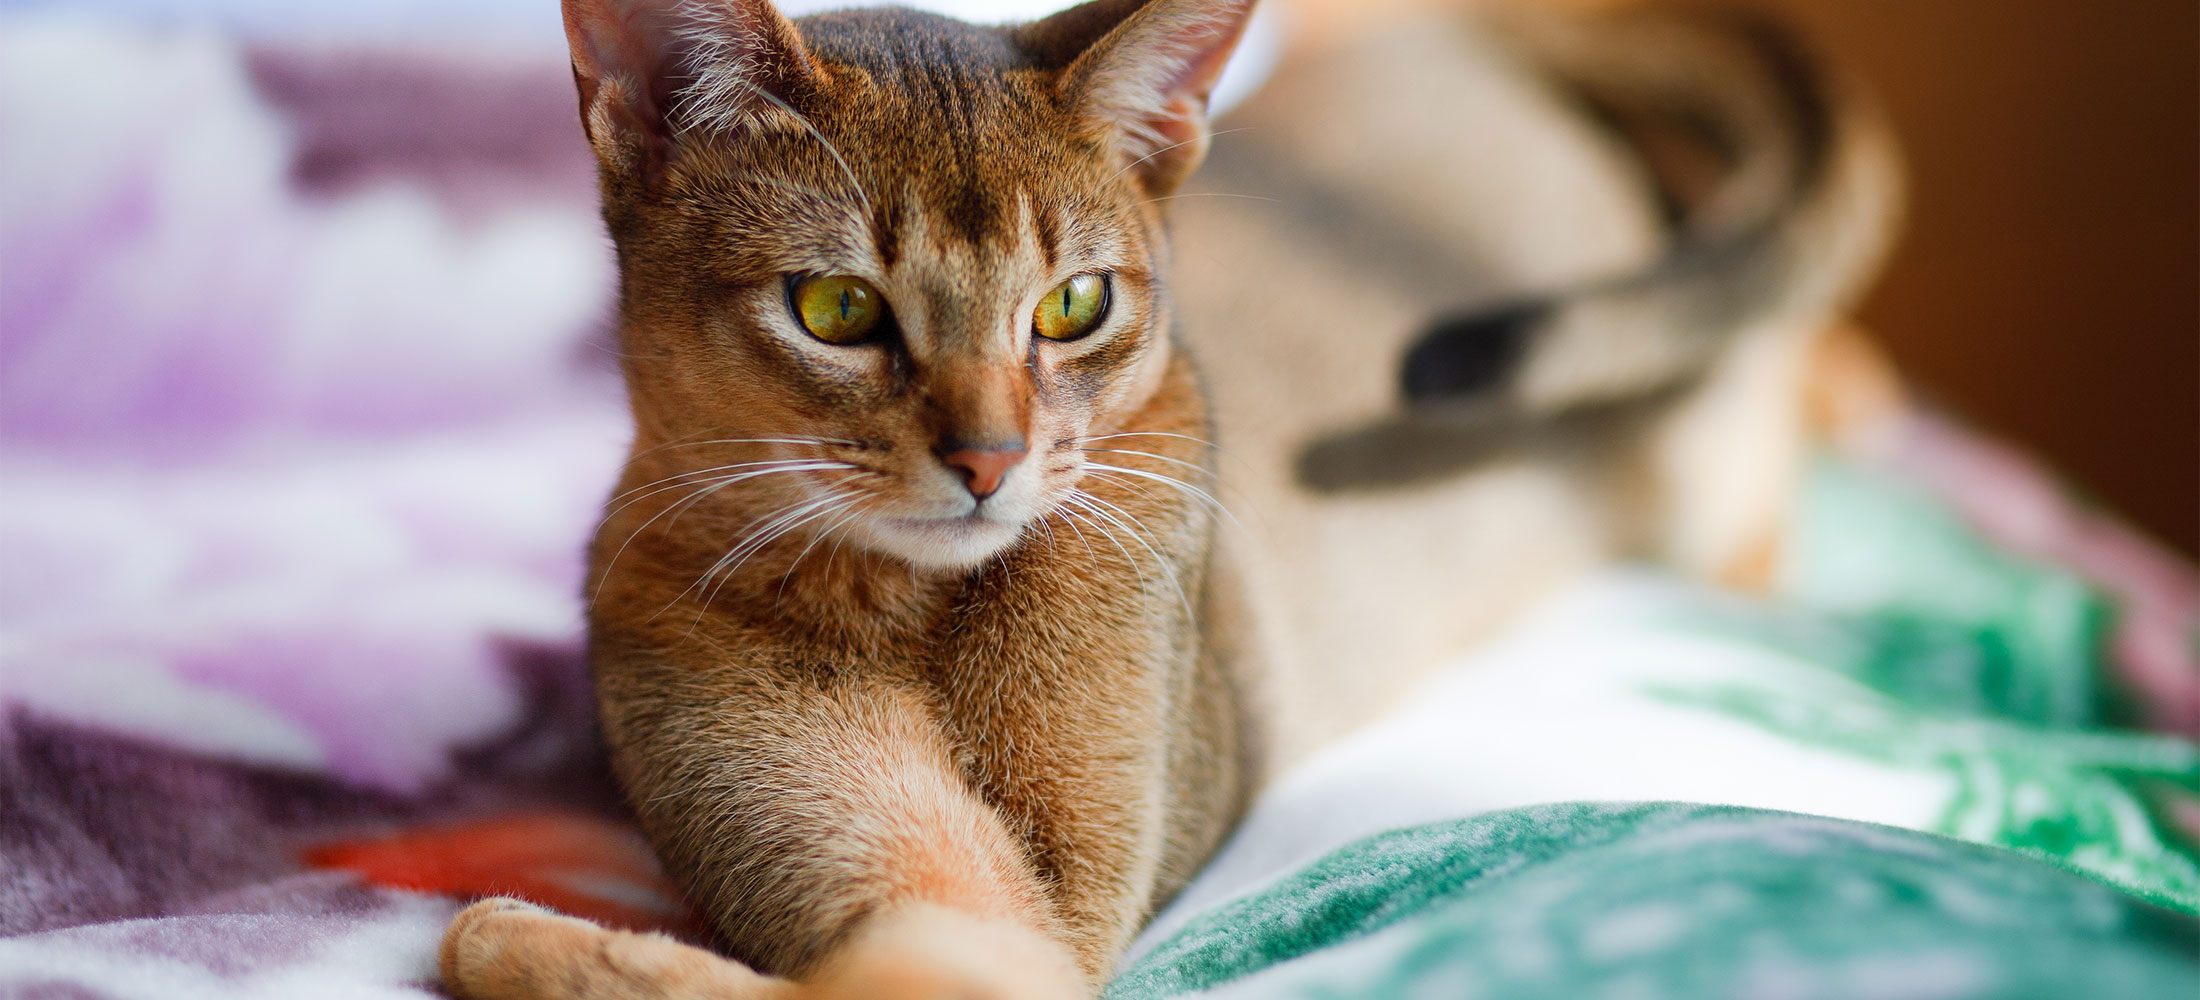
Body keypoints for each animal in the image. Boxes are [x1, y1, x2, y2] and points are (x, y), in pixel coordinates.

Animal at [438, 1, 1900, 997]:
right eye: (838, 309)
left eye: (1074, 305)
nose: (988, 461)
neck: (911, 614)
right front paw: (515, 934)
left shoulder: (1056, 912)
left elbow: (901, 971)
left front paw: (499, 936)